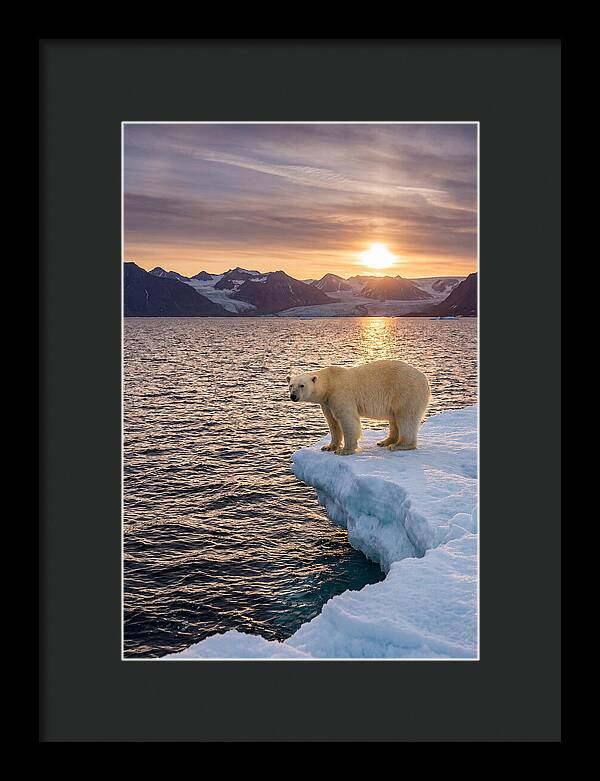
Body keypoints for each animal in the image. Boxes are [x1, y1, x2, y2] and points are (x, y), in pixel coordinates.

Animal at [287, 359, 430, 455]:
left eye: (302, 385)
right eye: (291, 385)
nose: (293, 396)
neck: (330, 383)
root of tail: (425, 378)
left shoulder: (341, 394)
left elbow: (347, 420)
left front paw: (344, 450)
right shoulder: (327, 402)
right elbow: (332, 423)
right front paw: (328, 447)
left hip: (406, 391)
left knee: (406, 417)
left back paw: (398, 445)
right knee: (394, 418)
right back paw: (385, 441)